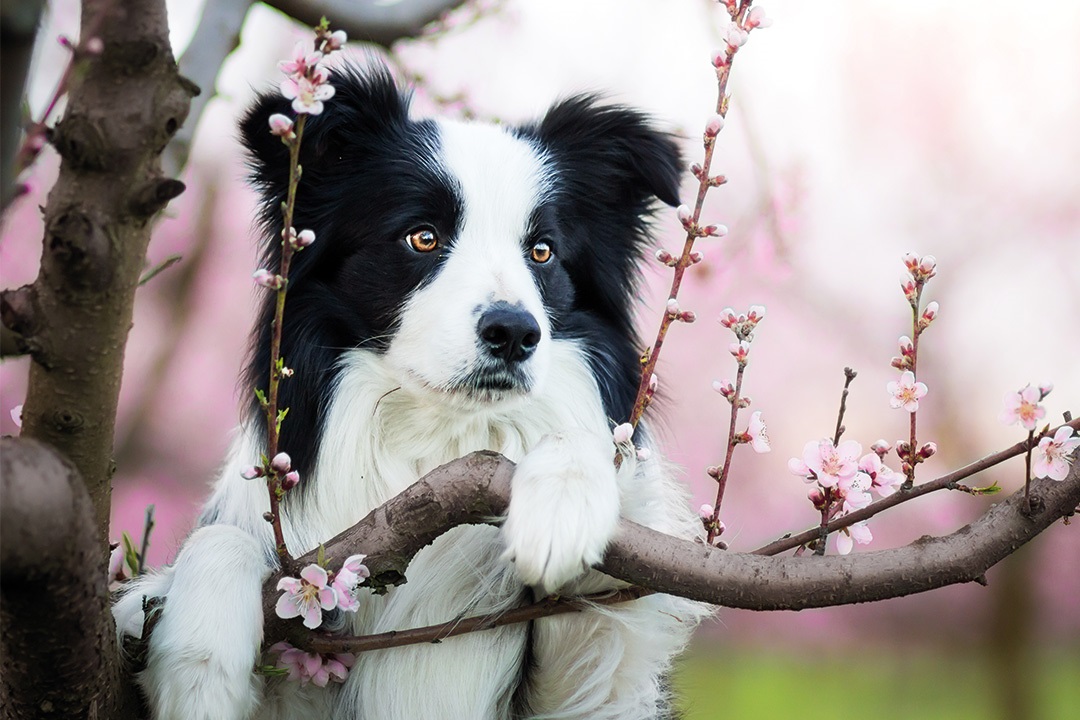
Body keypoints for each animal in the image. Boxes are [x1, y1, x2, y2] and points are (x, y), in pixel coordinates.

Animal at [113, 64, 708, 716]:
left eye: (542, 251)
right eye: (422, 237)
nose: (514, 333)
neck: (439, 438)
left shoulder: (591, 689)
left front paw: (561, 512)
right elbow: (217, 541)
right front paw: (200, 667)